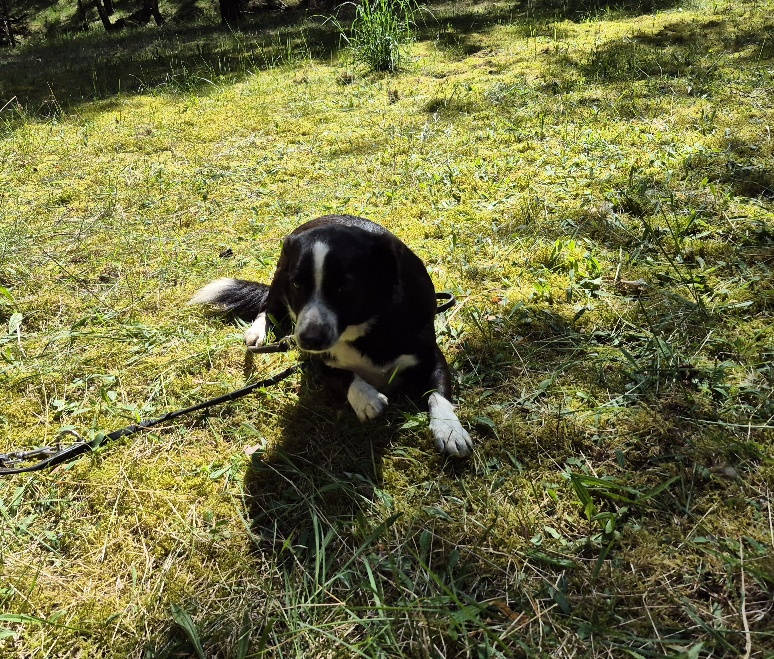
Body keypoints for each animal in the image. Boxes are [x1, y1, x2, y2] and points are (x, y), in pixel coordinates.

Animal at [190, 215, 472, 457]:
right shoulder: (318, 362)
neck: (365, 329)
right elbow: (344, 377)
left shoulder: (430, 356)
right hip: (279, 280)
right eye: (298, 284)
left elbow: (438, 393)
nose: (308, 339)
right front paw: (366, 399)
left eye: (343, 287)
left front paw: (449, 430)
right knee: (268, 307)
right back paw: (258, 331)